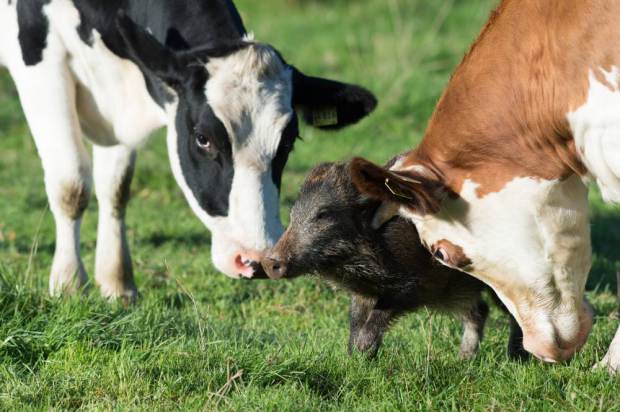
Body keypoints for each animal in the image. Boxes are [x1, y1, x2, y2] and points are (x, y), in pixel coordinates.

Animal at [0, 0, 376, 298]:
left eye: (288, 142)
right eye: (203, 138)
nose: (255, 260)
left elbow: (116, 188)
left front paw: (118, 284)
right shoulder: (39, 58)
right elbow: (72, 185)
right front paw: (68, 285)